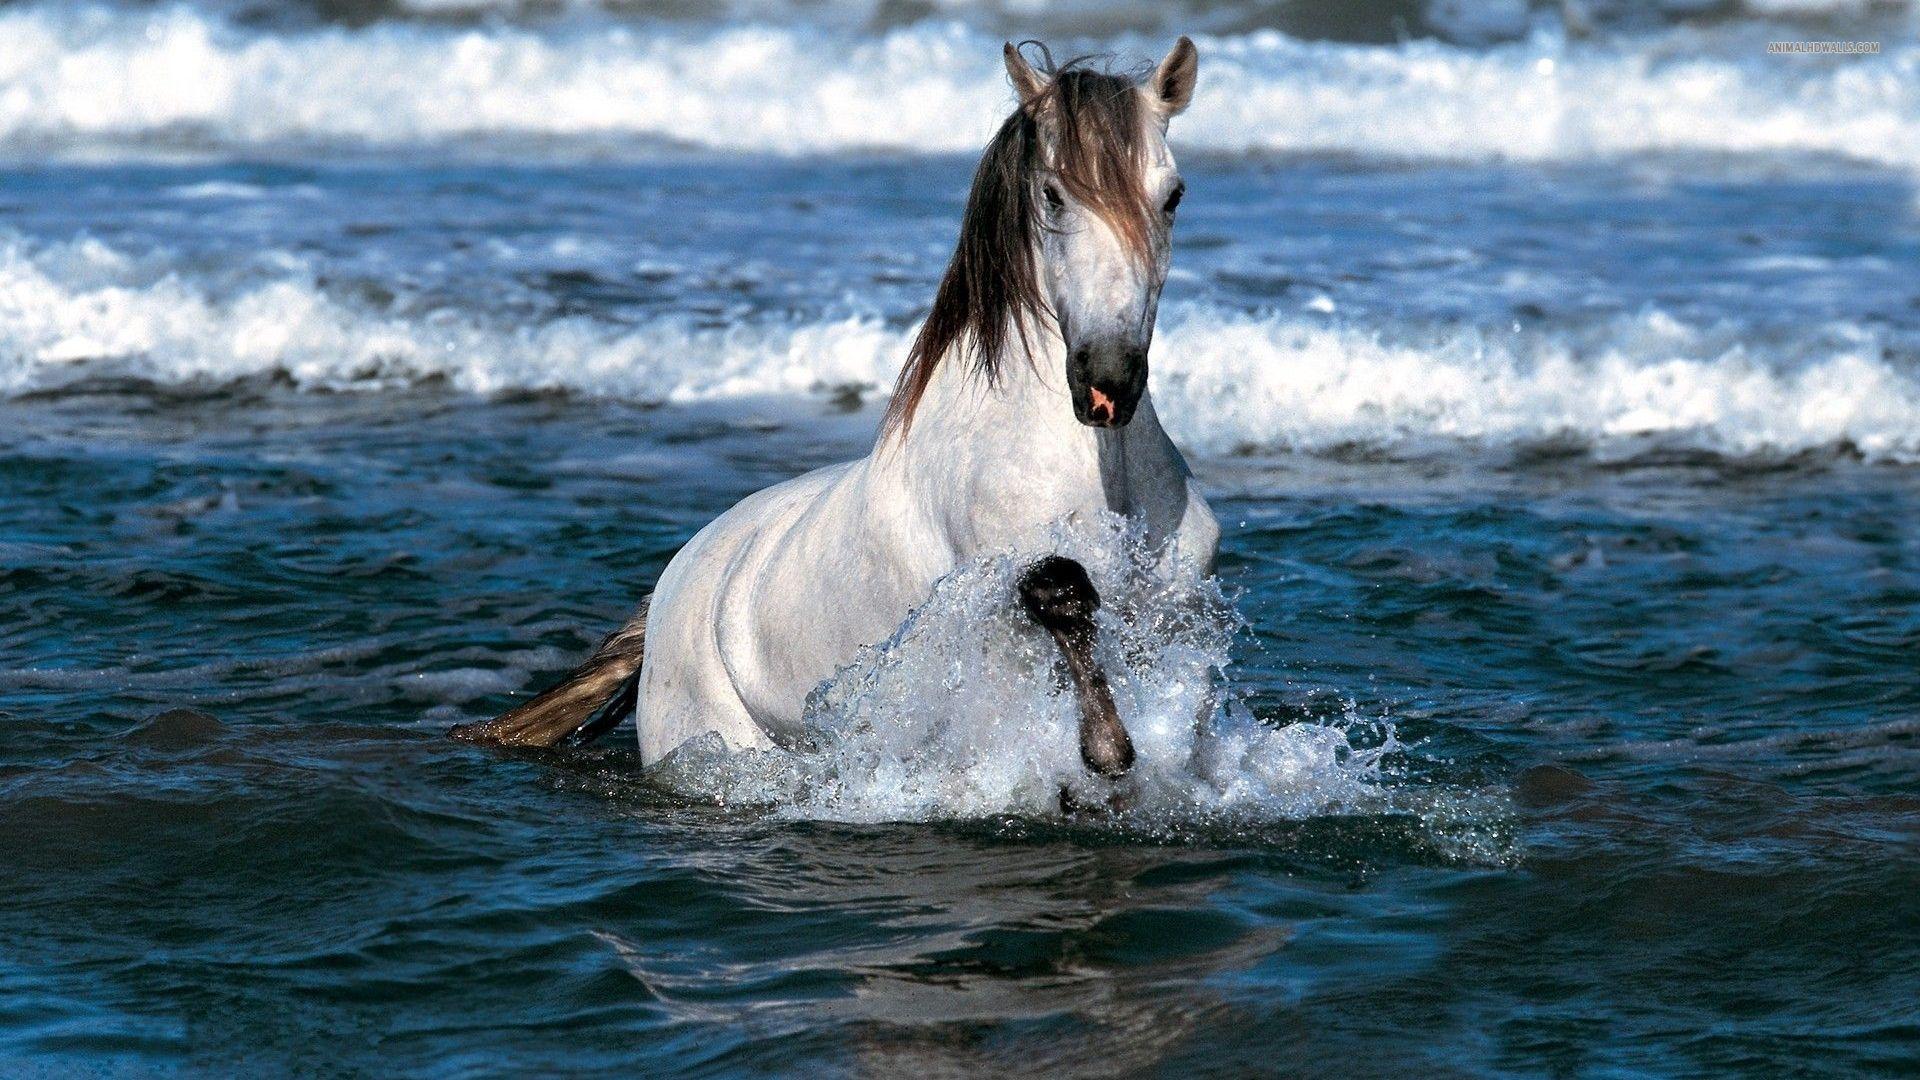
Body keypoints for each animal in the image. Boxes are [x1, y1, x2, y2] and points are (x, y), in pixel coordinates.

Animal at [454, 38, 1216, 782]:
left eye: (1174, 195)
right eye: (1054, 196)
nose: (1107, 380)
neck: (1099, 474)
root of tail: (670, 587)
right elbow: (1059, 592)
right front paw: (1106, 749)